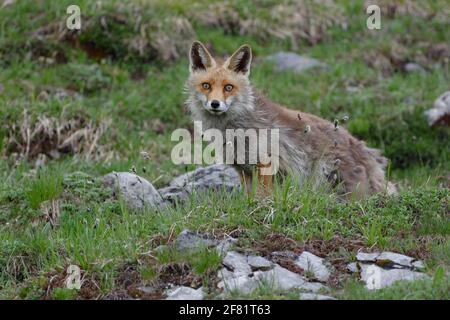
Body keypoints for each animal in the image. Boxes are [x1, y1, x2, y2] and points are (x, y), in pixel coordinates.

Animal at [185, 41, 396, 199]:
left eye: (228, 87)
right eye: (206, 85)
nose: (215, 104)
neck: (234, 130)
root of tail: (363, 148)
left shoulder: (266, 163)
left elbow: (262, 197)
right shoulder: (243, 169)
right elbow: (249, 198)